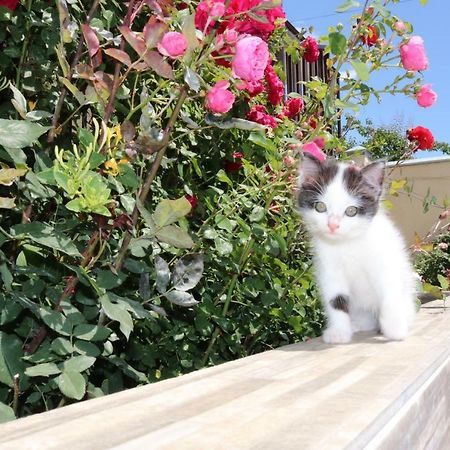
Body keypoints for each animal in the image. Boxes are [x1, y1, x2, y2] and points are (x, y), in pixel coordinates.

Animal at [298, 153, 416, 342]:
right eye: (320, 207)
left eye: (351, 211)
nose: (332, 225)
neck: (348, 243)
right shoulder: (330, 270)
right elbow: (336, 300)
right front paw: (339, 332)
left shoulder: (386, 261)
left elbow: (389, 294)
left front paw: (395, 330)